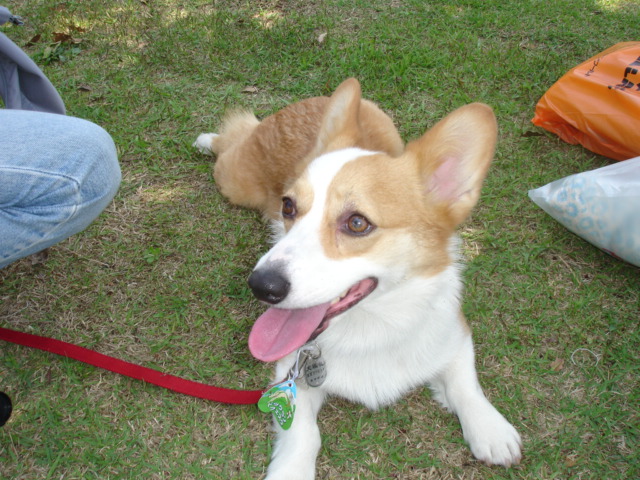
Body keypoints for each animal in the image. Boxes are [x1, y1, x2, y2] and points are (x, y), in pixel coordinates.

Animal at [194, 78, 522, 479]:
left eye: (356, 223)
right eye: (288, 206)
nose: (260, 286)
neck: (373, 327)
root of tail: (299, 105)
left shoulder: (454, 334)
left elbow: (466, 383)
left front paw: (491, 429)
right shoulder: (290, 374)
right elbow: (305, 435)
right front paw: (291, 471)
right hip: (235, 181)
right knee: (232, 140)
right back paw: (209, 139)